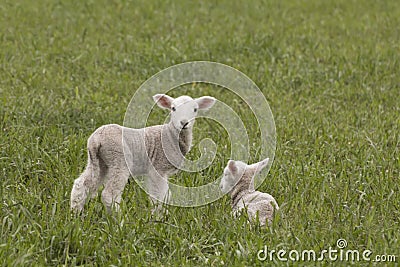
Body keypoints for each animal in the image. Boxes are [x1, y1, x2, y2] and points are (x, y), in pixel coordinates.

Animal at [70, 94, 217, 214]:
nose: (184, 123)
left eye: (195, 109)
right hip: (118, 159)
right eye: (173, 108)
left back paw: (76, 214)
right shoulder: (158, 168)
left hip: (99, 161)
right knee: (109, 195)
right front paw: (159, 217)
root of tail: (96, 140)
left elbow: (166, 195)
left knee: (81, 184)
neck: (170, 135)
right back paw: (119, 221)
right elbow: (160, 196)